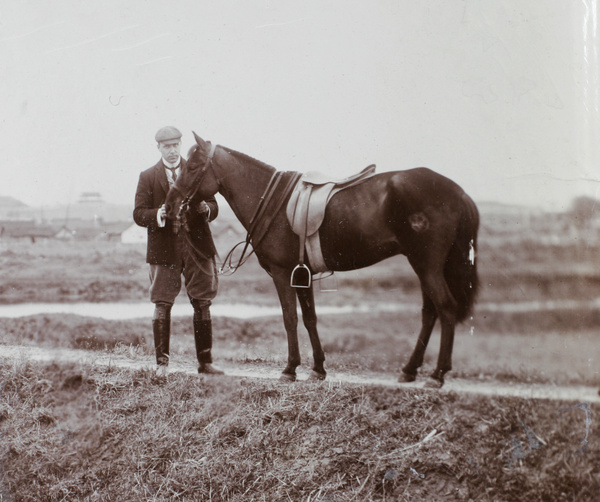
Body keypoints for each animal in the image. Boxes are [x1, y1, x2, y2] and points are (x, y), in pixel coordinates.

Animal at [165, 133, 482, 388]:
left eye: (192, 167)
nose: (169, 204)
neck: (271, 200)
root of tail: (459, 192)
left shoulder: (282, 273)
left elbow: (290, 318)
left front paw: (290, 369)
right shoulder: (301, 275)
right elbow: (310, 319)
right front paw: (317, 369)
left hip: (427, 265)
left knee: (446, 308)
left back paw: (437, 375)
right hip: (426, 266)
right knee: (430, 313)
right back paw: (410, 370)